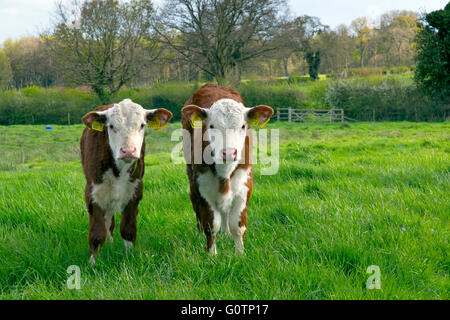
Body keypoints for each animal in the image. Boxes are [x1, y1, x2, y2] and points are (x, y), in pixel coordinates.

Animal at [81, 99, 172, 264]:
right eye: (111, 126)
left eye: (142, 125)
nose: (128, 151)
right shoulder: (92, 193)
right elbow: (97, 233)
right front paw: (93, 263)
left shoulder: (135, 191)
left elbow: (128, 229)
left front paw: (130, 256)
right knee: (107, 221)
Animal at [181, 83, 272, 255]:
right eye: (211, 126)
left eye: (243, 126)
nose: (229, 152)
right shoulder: (202, 187)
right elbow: (211, 226)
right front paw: (211, 255)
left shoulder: (244, 186)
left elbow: (238, 225)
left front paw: (240, 254)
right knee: (194, 201)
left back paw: (226, 233)